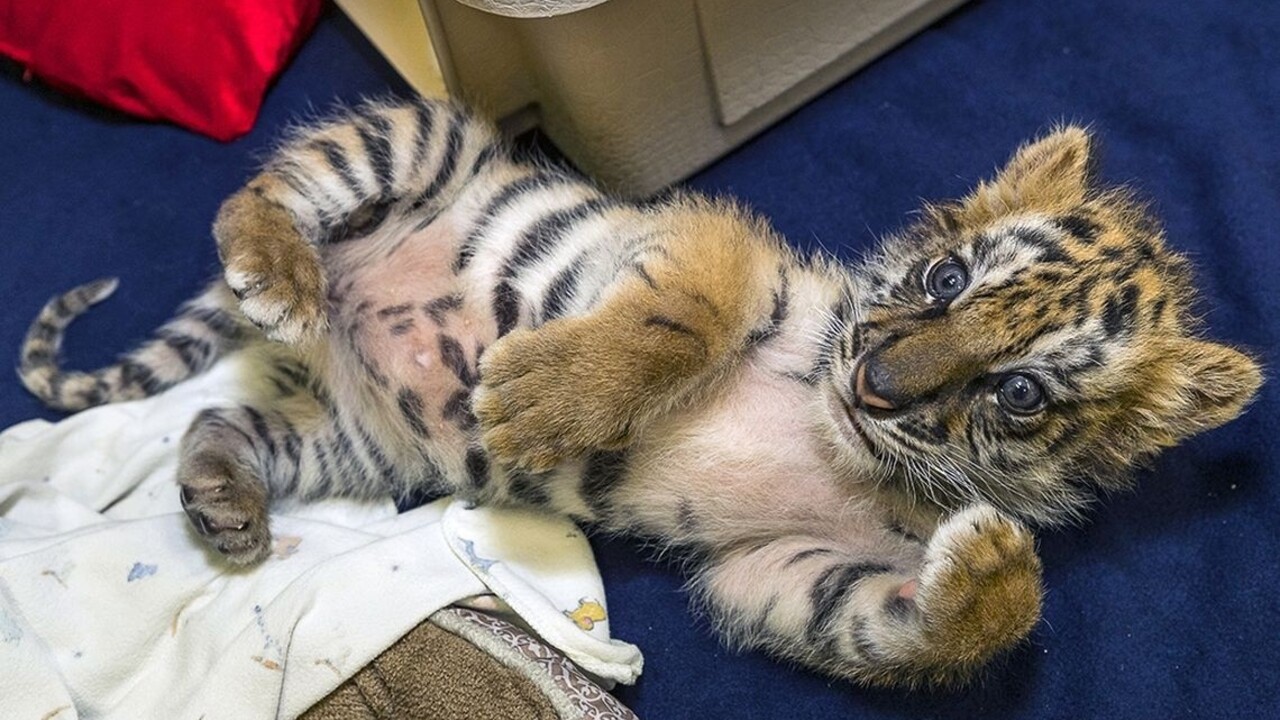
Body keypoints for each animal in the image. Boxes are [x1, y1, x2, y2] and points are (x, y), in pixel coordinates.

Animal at [17, 98, 1261, 687]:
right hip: (410, 142)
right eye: (946, 279)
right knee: (251, 192)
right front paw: (538, 400)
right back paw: (275, 271)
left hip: (364, 446)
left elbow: (896, 620)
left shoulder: (773, 568)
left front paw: (997, 569)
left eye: (1017, 395)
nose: (874, 384)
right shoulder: (720, 251)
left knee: (216, 413)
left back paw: (225, 498)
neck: (842, 441)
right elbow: (677, 320)